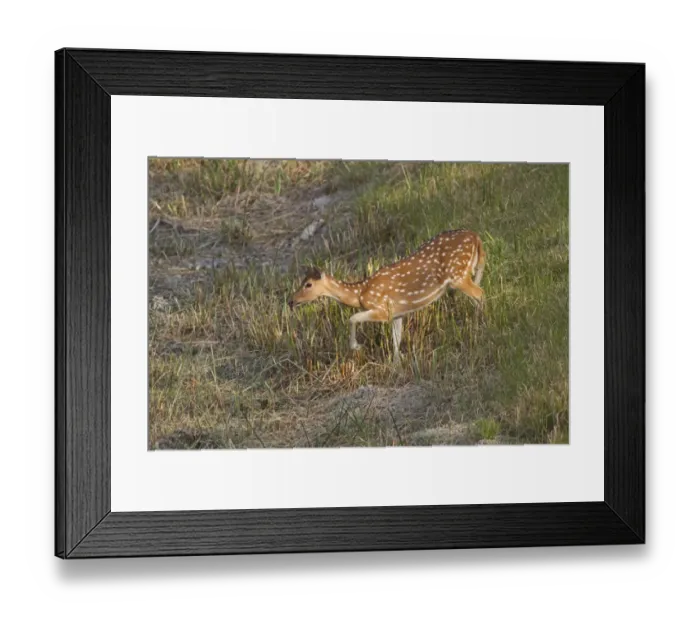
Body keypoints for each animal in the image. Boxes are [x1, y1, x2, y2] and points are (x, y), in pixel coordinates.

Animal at [288, 229, 486, 360]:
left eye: (308, 284)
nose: (291, 301)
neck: (360, 293)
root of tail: (475, 236)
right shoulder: (397, 313)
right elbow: (396, 340)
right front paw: (398, 362)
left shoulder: (382, 309)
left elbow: (352, 318)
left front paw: (356, 347)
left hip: (458, 275)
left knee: (480, 294)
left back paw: (479, 327)